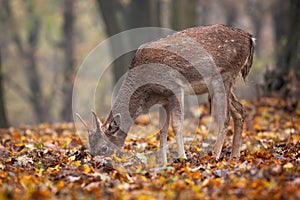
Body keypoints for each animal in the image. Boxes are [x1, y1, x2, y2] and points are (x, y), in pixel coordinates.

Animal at [76, 23, 254, 164]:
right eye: (91, 149)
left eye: (104, 148)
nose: (97, 163)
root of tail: (250, 38)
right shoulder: (163, 99)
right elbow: (162, 130)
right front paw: (164, 162)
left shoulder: (175, 87)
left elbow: (176, 126)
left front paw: (182, 158)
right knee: (240, 110)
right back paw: (234, 156)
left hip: (225, 76)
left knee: (225, 117)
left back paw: (215, 156)